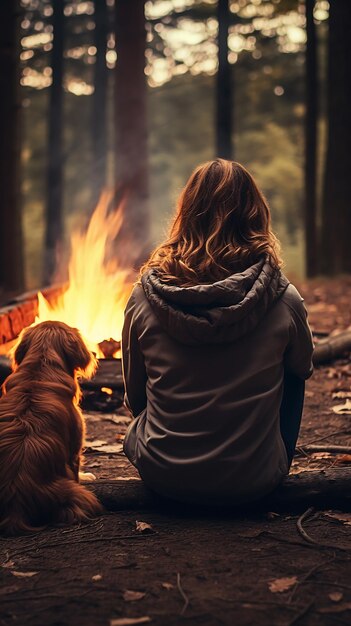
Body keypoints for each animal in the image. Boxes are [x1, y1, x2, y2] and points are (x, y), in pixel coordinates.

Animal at [0, 320, 104, 532]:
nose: (96, 352)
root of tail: (15, 504)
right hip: (80, 495)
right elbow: (76, 472)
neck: (39, 370)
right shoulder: (74, 452)